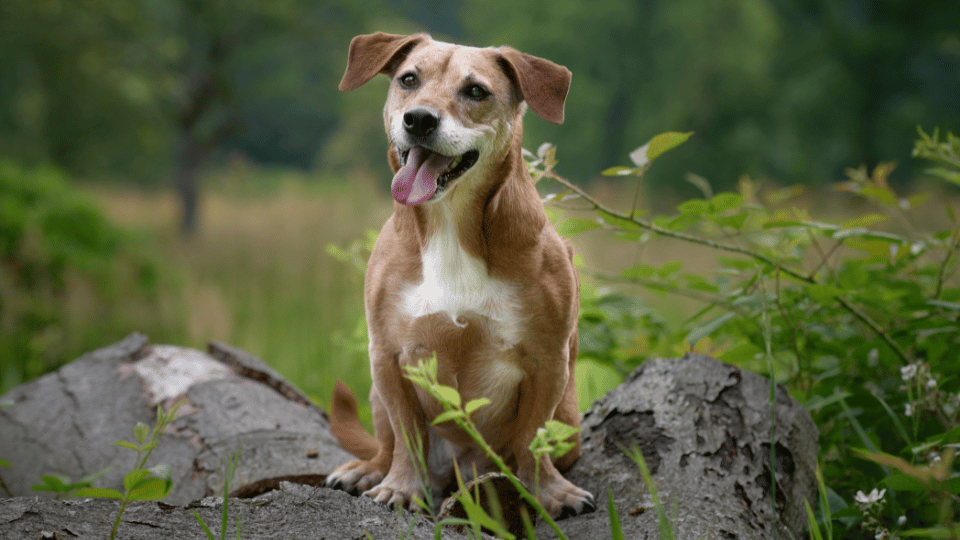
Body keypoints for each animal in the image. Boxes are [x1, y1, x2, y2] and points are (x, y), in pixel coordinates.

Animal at [324, 30, 592, 520]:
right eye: (409, 79)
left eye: (476, 91)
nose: (418, 119)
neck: (451, 222)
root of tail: (462, 470)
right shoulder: (388, 357)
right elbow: (407, 436)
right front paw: (400, 487)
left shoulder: (548, 362)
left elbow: (533, 438)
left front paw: (549, 491)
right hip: (375, 396)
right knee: (387, 444)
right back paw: (368, 469)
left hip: (568, 417)